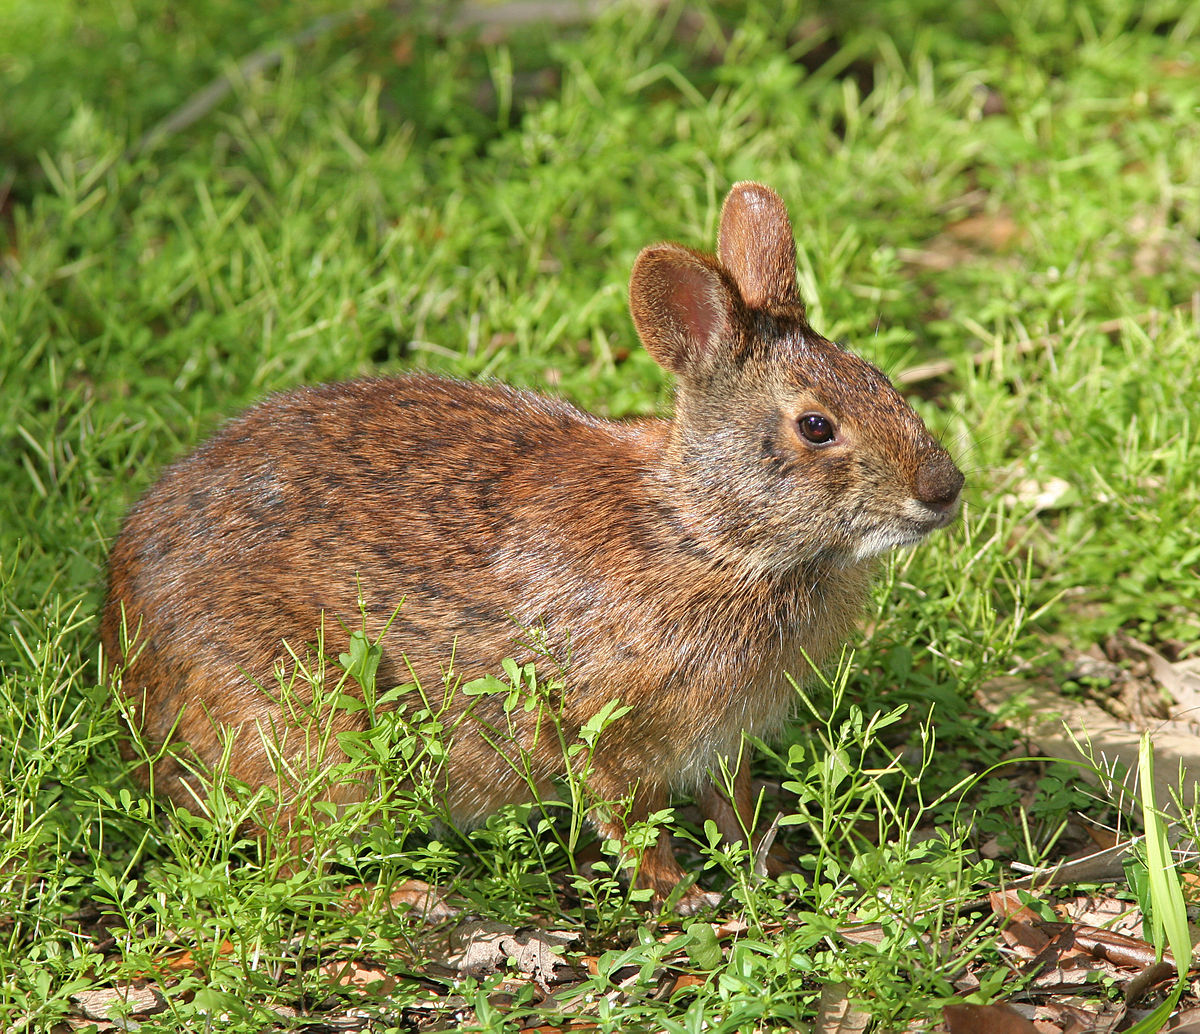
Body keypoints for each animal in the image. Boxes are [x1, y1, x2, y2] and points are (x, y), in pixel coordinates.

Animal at [103, 182, 964, 911]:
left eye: (878, 376)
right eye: (816, 426)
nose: (945, 488)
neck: (705, 534)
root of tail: (128, 680)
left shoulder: (722, 741)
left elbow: (737, 807)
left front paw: (774, 869)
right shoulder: (603, 725)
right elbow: (632, 819)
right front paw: (679, 896)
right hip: (315, 734)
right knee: (296, 864)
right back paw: (408, 898)